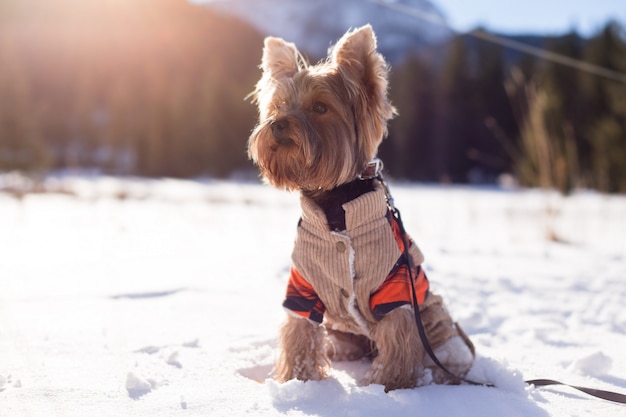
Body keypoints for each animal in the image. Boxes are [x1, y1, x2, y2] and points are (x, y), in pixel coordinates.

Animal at [246, 25, 470, 390]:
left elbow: (398, 334)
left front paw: (390, 384)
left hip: (435, 320)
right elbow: (300, 330)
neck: (335, 202)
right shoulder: (303, 283)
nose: (278, 124)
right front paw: (299, 379)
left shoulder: (395, 284)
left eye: (320, 107)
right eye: (278, 106)